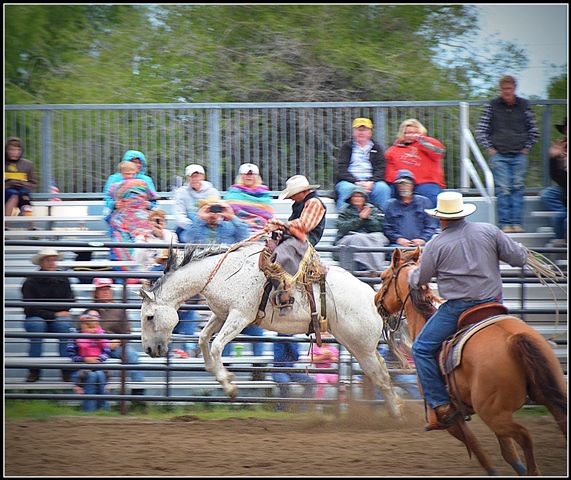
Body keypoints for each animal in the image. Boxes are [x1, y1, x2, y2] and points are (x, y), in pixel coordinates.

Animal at [140, 242, 404, 418]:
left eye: (149, 316)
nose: (151, 349)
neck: (223, 273)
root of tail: (375, 298)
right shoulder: (222, 314)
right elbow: (204, 339)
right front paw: (219, 375)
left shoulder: (240, 316)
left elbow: (216, 346)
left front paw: (230, 386)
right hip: (358, 346)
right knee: (381, 373)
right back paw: (395, 409)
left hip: (362, 347)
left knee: (381, 377)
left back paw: (396, 415)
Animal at [376, 248, 568, 476]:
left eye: (384, 277)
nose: (376, 300)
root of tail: (513, 338)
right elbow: (509, 454)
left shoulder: (452, 420)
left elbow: (480, 452)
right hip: (545, 396)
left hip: (494, 414)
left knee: (525, 435)